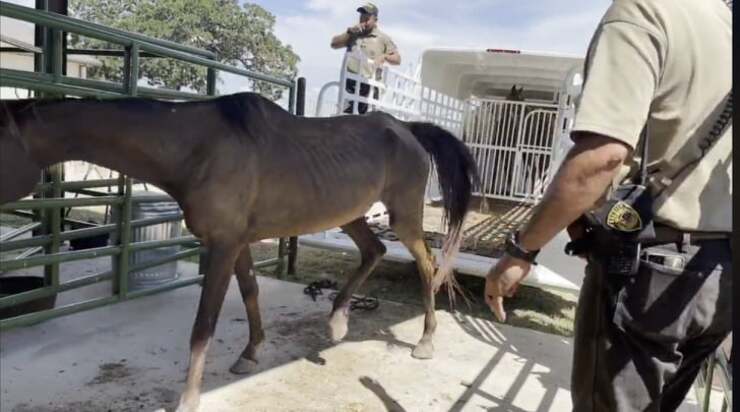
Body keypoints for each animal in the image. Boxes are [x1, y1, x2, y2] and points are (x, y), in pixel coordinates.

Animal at [0, 93, 476, 412]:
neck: (198, 148)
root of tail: (407, 129)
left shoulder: (223, 245)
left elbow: (203, 325)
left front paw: (189, 398)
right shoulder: (239, 242)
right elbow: (250, 295)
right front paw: (250, 354)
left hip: (404, 216)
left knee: (427, 264)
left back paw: (425, 341)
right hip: (349, 214)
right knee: (374, 250)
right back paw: (338, 320)